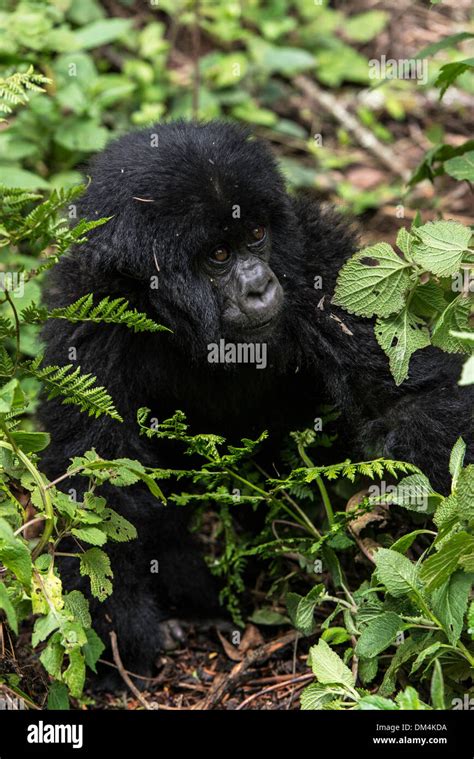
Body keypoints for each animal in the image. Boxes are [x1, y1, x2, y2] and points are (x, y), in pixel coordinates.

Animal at [39, 119, 470, 684]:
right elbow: (98, 490)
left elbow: (407, 404)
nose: (261, 286)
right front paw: (121, 634)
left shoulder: (316, 263)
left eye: (257, 236)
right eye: (219, 256)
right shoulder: (87, 324)